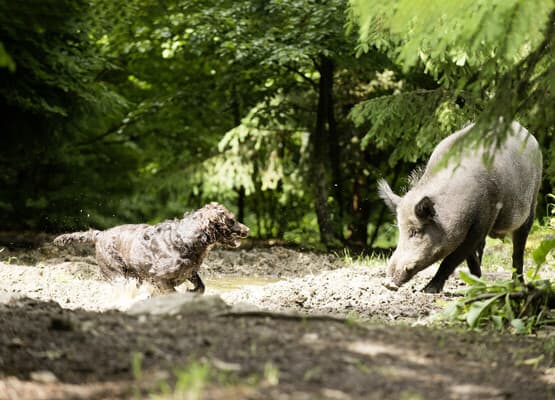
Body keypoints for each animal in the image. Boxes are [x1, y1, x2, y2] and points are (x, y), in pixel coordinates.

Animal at [52, 203, 250, 294]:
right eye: (231, 220)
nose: (247, 229)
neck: (186, 239)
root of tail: (100, 235)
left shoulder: (190, 271)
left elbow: (201, 286)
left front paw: (191, 291)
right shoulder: (160, 277)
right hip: (117, 273)